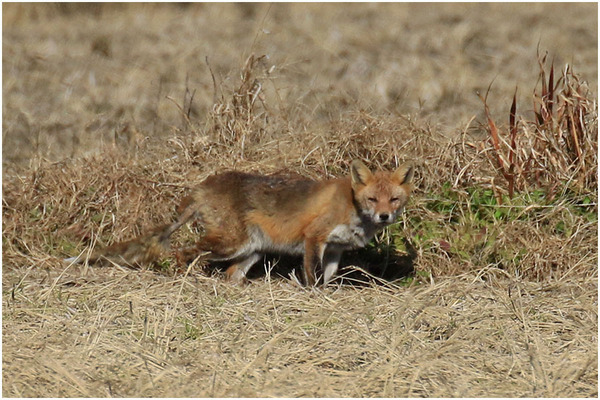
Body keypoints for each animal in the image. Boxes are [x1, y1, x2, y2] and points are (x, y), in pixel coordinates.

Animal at [65, 160, 412, 288]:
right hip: (229, 244)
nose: (384, 216)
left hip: (249, 251)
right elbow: (312, 275)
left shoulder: (335, 249)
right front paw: (312, 293)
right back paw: (183, 277)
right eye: (372, 199)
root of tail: (203, 186)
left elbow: (327, 276)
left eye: (394, 200)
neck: (352, 206)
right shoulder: (313, 237)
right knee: (183, 252)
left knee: (230, 274)